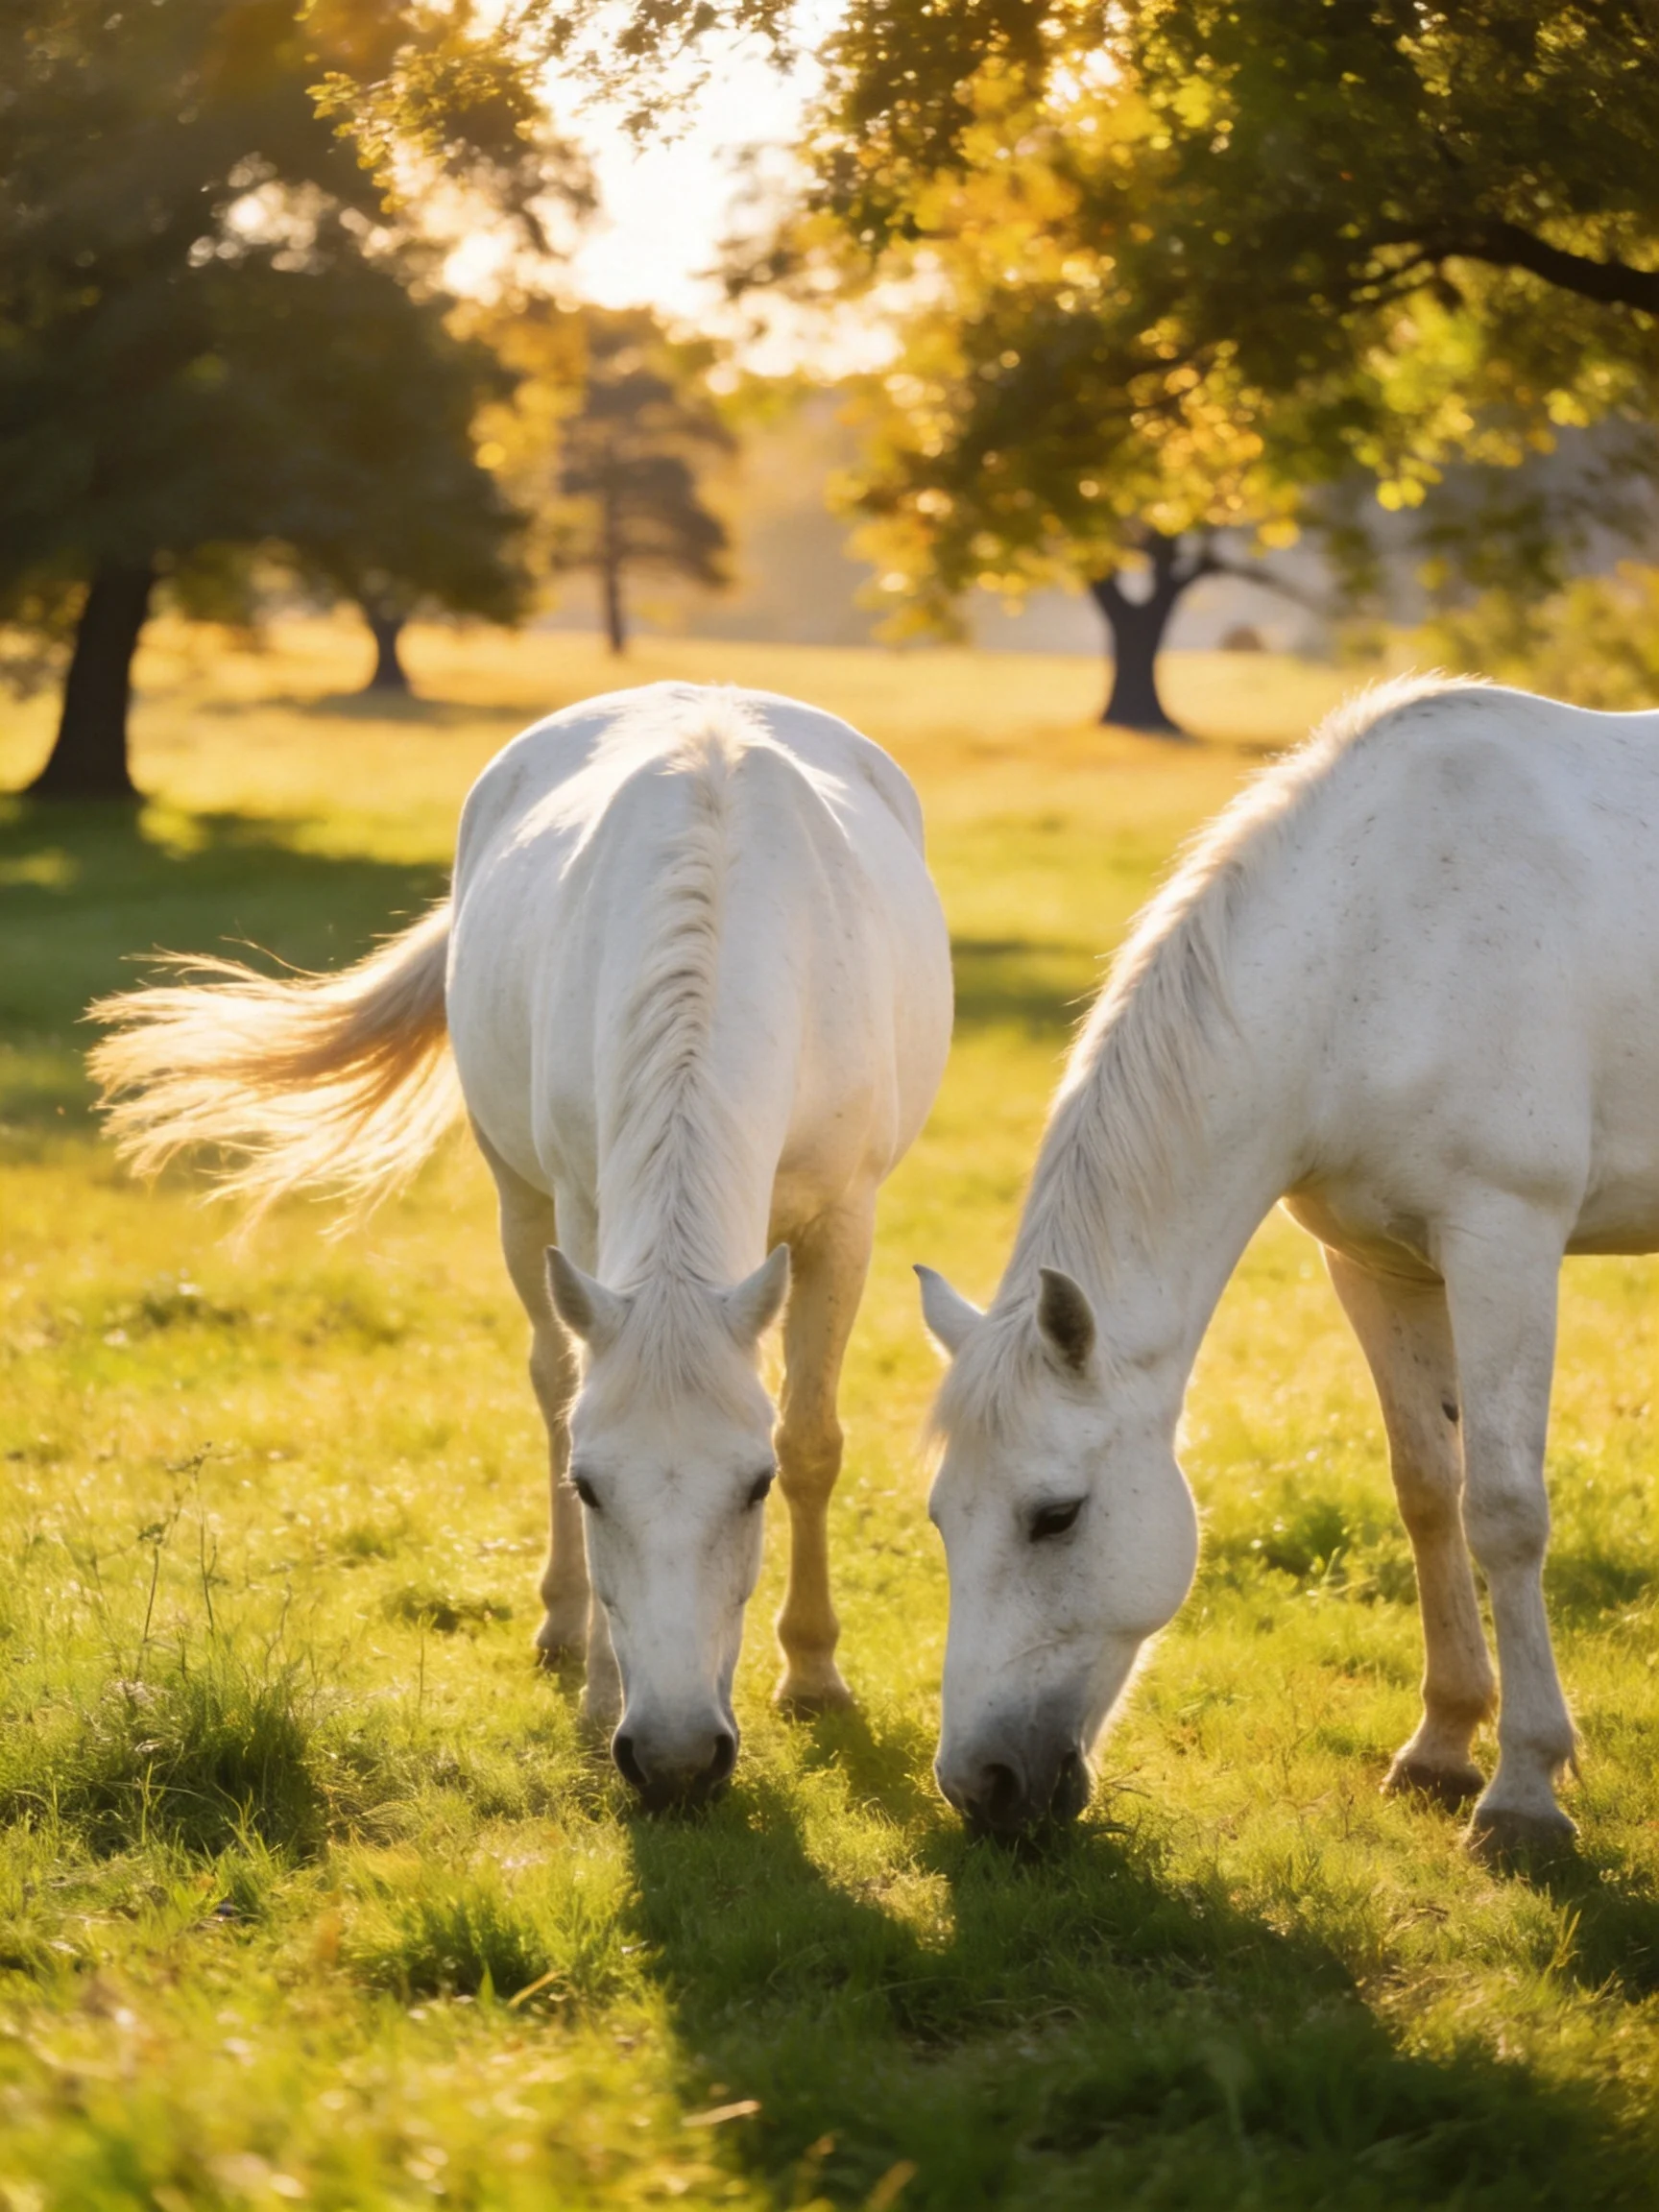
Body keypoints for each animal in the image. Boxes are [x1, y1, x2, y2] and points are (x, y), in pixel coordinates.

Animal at [92, 683, 953, 1809]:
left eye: (752, 1487)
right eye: (593, 1489)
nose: (676, 1760)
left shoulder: (843, 1222)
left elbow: (813, 1437)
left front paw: (812, 1677)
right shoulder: (581, 1213)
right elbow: (575, 1400)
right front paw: (600, 1689)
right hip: (519, 1202)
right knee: (549, 1383)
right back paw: (560, 1626)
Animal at [916, 674, 1659, 1858]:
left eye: (1056, 1515)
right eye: (944, 1516)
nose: (980, 1787)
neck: (1380, 939)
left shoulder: (1505, 1239)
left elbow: (1504, 1509)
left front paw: (1522, 1793)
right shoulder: (1377, 1266)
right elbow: (1428, 1489)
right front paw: (1442, 1744)